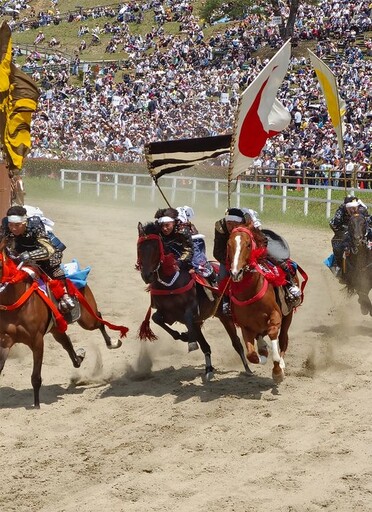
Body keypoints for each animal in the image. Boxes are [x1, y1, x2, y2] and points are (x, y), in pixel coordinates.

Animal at [0, 248, 127, 408]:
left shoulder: (37, 342)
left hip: (87, 320)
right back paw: (80, 356)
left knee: (98, 320)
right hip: (56, 329)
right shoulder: (5, 341)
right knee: (67, 343)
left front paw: (37, 406)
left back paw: (112, 343)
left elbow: (36, 377)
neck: (17, 302)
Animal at [136, 222, 250, 382]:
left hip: (224, 316)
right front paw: (183, 336)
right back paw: (208, 369)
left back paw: (247, 369)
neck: (170, 284)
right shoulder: (167, 313)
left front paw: (189, 341)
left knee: (237, 343)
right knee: (206, 346)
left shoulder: (192, 311)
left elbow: (188, 317)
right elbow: (156, 318)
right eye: (140, 248)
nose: (147, 275)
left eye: (156, 248)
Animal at [225, 226, 304, 382]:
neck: (251, 292)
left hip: (288, 315)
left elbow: (273, 334)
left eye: (248, 244)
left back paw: (282, 362)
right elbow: (251, 355)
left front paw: (278, 371)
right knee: (261, 337)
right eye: (229, 244)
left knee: (283, 339)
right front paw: (263, 354)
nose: (236, 273)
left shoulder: (275, 316)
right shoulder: (245, 326)